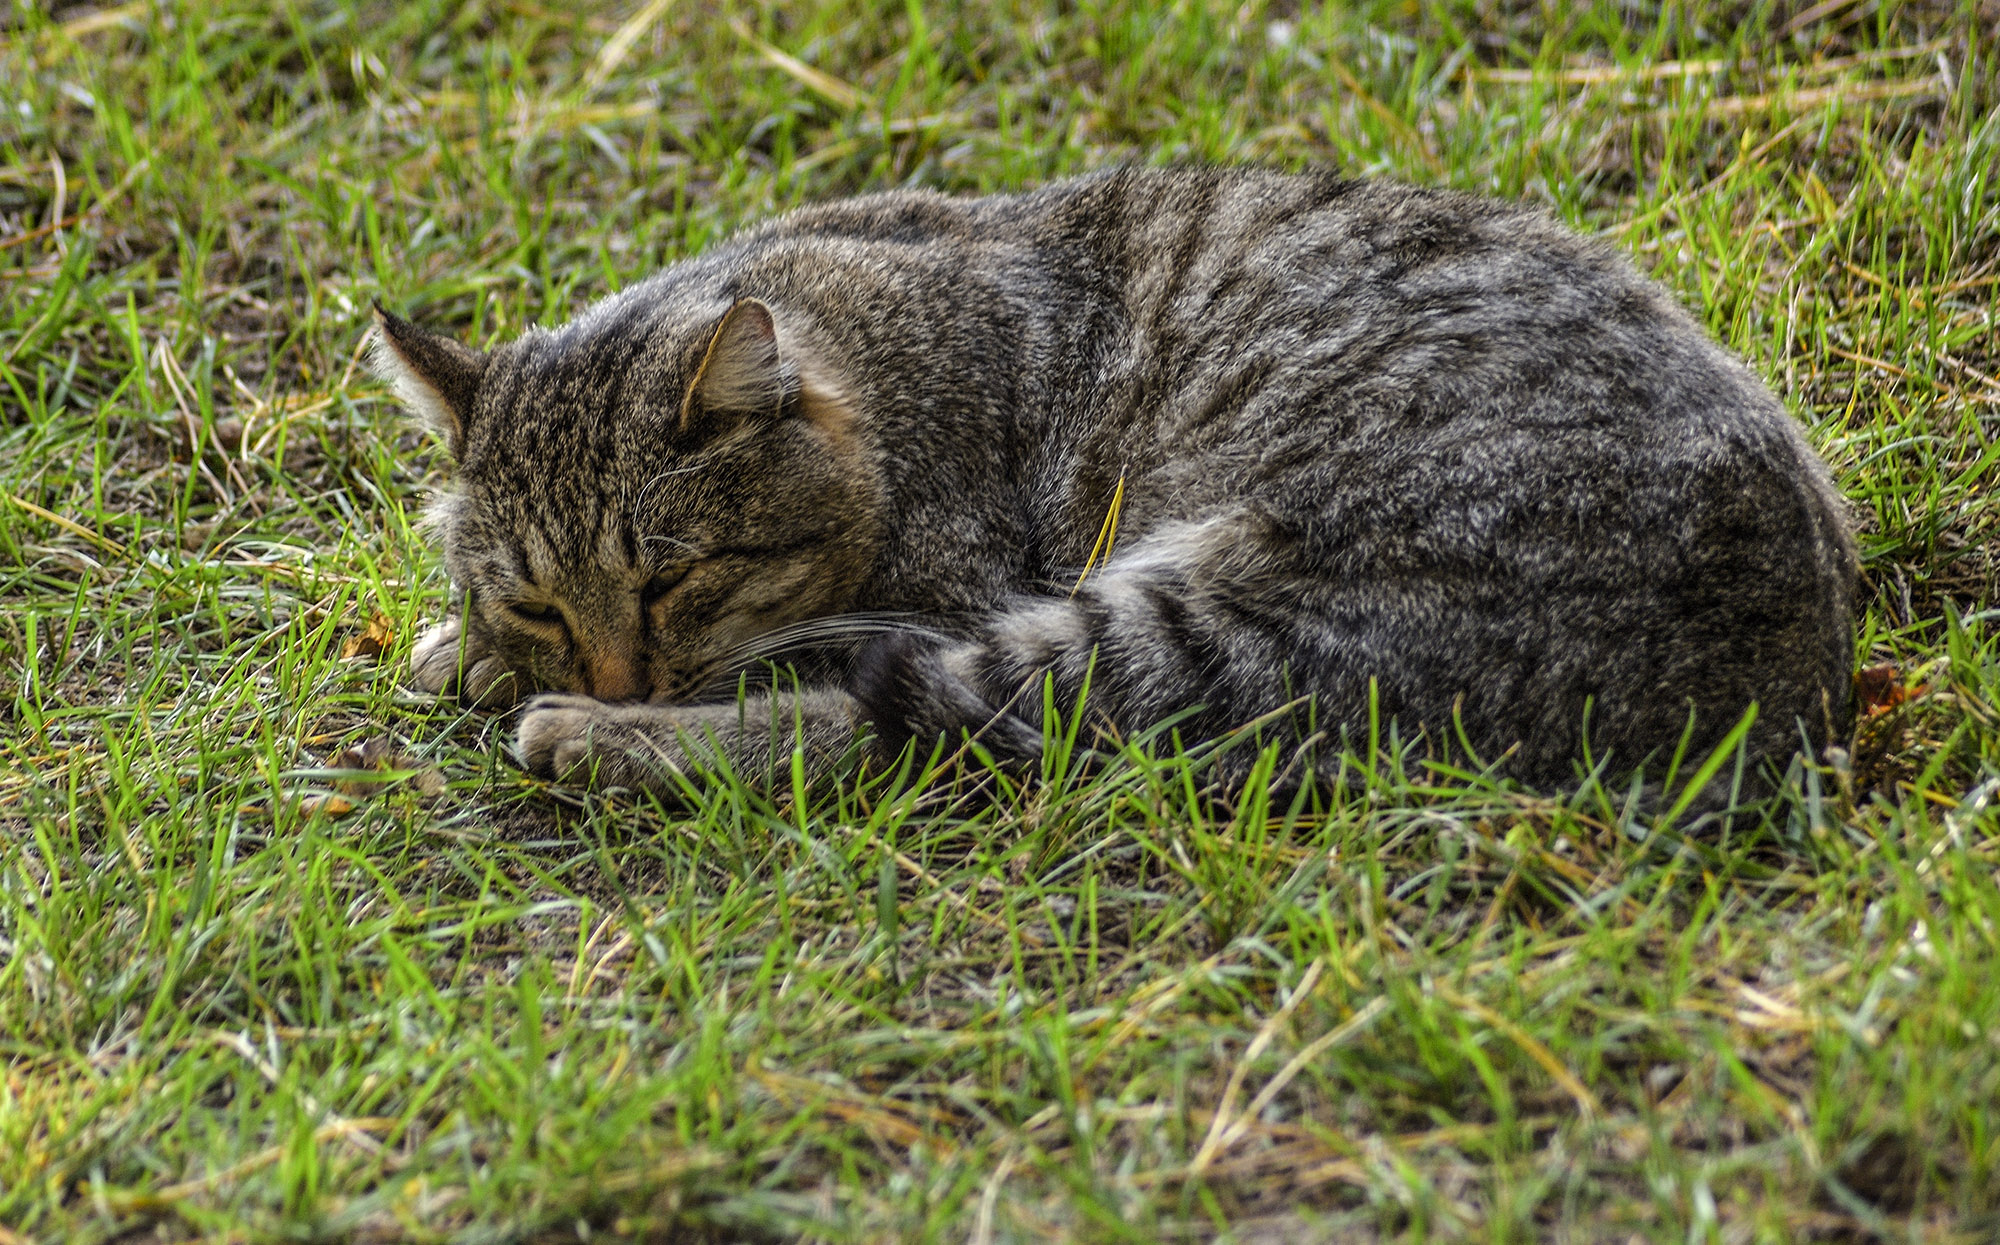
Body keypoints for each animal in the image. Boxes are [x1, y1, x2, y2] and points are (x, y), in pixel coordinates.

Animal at [372, 166, 1856, 804]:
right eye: (542, 599)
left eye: (673, 578)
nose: (611, 674)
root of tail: (1793, 686)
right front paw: (474, 646)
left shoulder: (945, 583)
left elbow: (810, 657)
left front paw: (546, 688)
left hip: (1196, 626)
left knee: (904, 729)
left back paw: (600, 742)